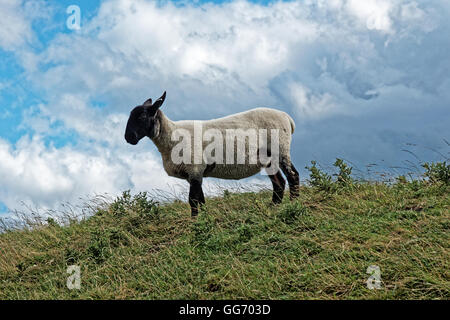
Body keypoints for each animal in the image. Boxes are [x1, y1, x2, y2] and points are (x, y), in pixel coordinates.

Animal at [125, 92, 298, 218]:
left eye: (142, 116)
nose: (129, 138)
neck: (170, 137)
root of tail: (287, 118)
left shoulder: (195, 169)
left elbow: (193, 200)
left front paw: (195, 221)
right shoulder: (193, 174)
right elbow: (201, 200)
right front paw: (204, 218)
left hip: (281, 148)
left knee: (292, 176)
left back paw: (293, 204)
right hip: (267, 158)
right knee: (279, 182)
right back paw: (274, 207)